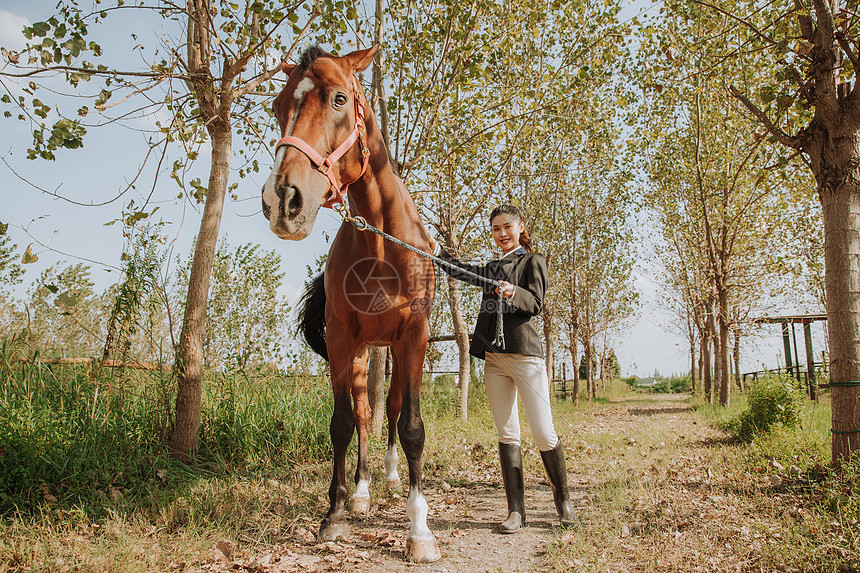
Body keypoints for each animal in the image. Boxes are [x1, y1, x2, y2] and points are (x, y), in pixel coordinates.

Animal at [258, 47, 440, 560]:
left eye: (340, 98)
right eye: (277, 106)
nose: (283, 198)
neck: (380, 245)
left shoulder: (414, 337)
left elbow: (411, 426)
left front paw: (419, 530)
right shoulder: (341, 338)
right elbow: (342, 423)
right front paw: (334, 514)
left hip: (393, 351)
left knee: (392, 409)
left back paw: (393, 481)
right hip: (362, 353)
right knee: (364, 414)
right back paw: (361, 493)